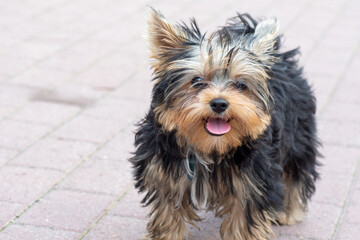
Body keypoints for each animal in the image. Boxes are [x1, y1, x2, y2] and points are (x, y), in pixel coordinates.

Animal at [131, 8, 320, 240]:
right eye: (196, 81)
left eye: (240, 85)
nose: (219, 103)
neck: (210, 147)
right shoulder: (165, 174)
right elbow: (168, 216)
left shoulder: (252, 181)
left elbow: (245, 220)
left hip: (299, 134)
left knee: (295, 169)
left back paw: (287, 211)